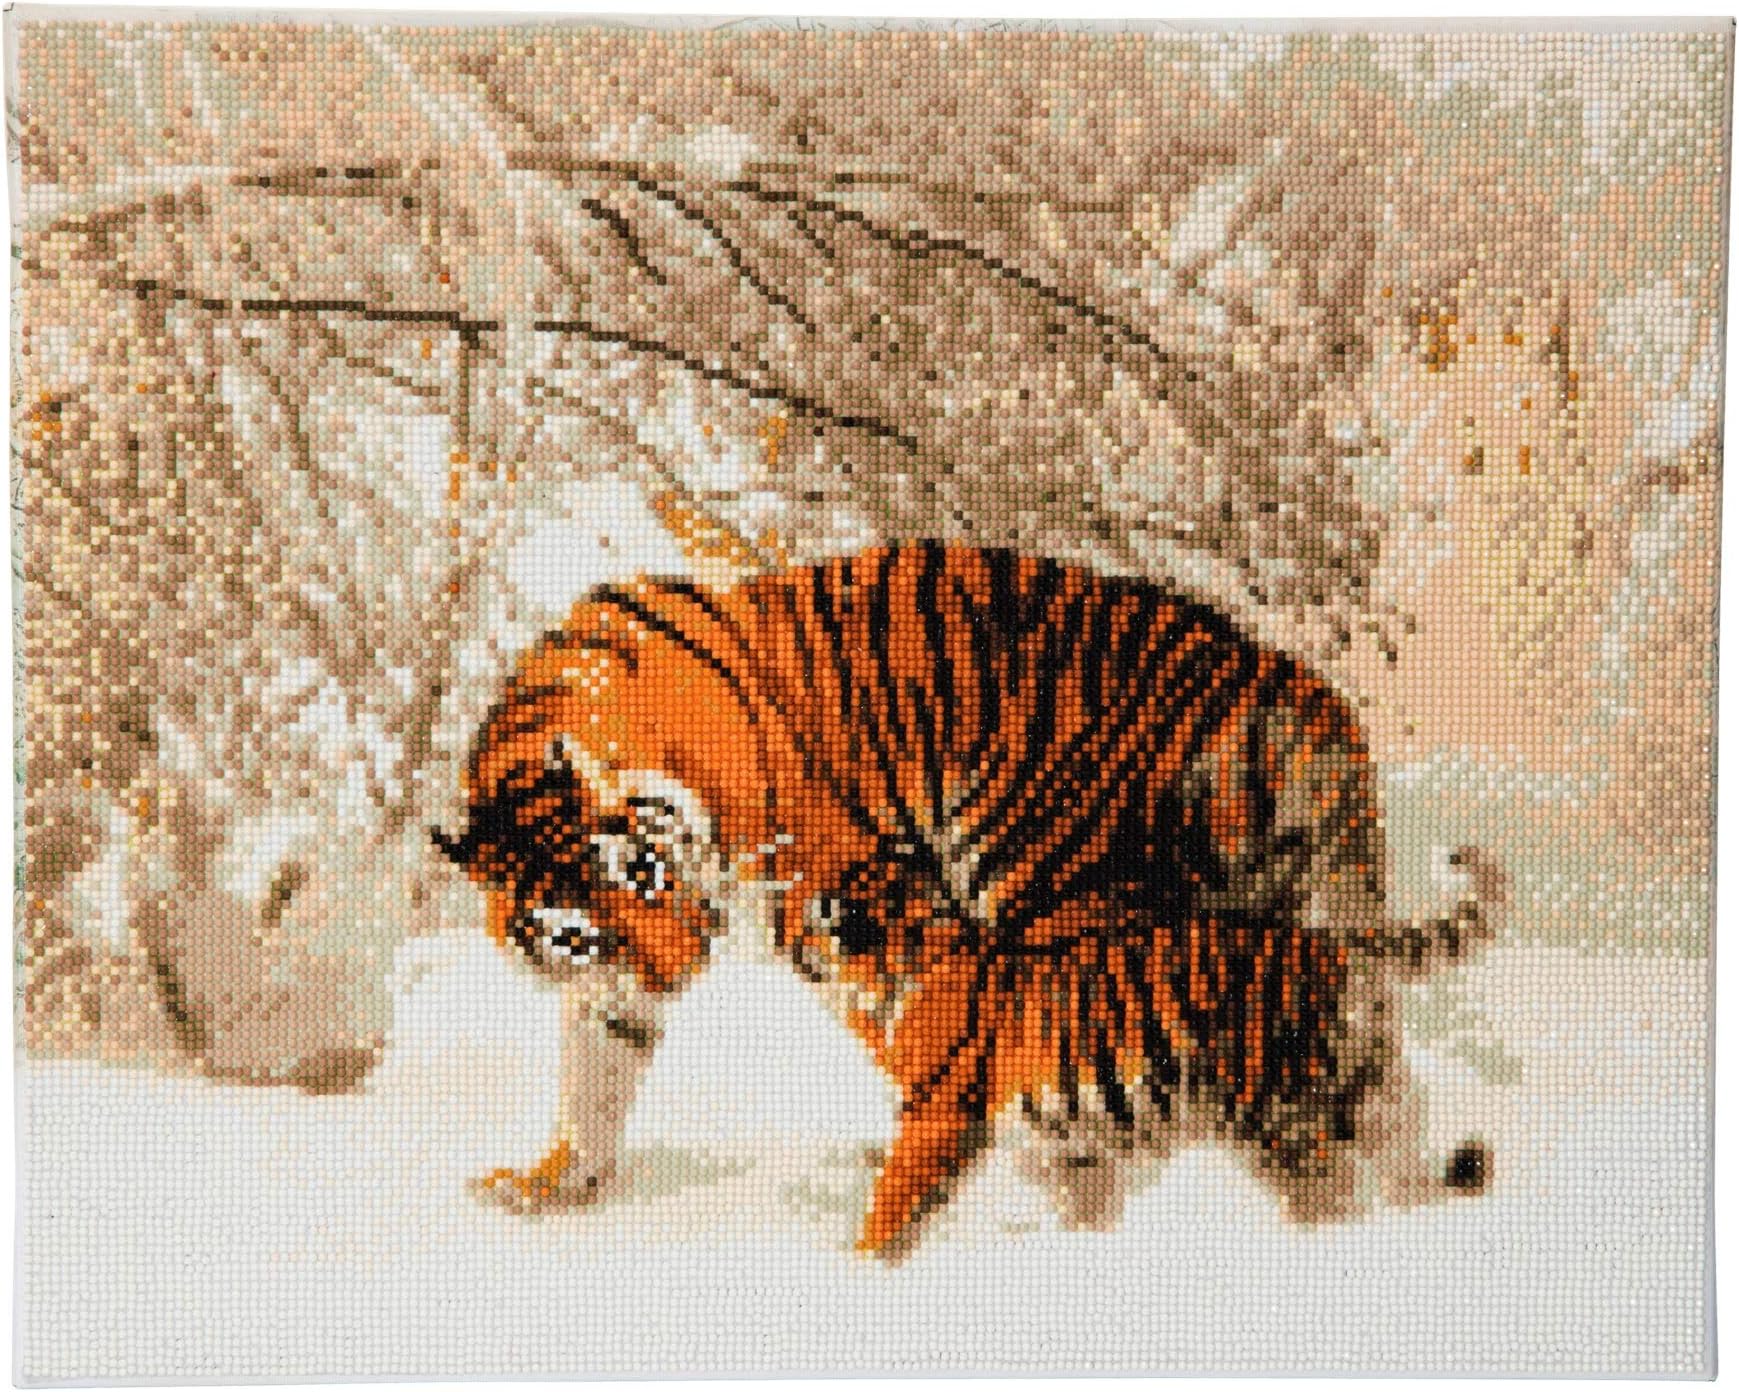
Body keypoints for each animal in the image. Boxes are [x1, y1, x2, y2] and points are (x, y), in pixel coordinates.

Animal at [435, 541, 1503, 1256]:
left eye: (643, 873)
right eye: (573, 935)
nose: (671, 970)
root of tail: (1306, 707)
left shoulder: (829, 878)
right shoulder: (613, 985)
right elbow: (593, 1076)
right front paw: (554, 1186)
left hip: (1072, 899)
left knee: (1107, 1066)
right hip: (1294, 931)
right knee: (1373, 1081)